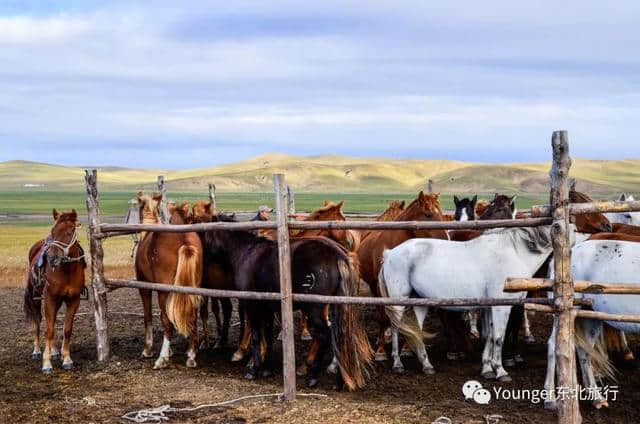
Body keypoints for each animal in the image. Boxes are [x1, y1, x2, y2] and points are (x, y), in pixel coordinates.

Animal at [23, 210, 85, 372]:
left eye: (70, 231)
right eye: (53, 231)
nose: (52, 258)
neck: (67, 271)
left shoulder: (73, 300)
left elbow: (67, 329)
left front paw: (67, 359)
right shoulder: (50, 298)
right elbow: (49, 330)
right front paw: (46, 363)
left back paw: (55, 351)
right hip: (36, 299)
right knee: (38, 321)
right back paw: (37, 351)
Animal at [135, 194, 202, 370]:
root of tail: (184, 240)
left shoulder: (144, 286)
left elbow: (149, 316)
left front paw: (148, 349)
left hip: (164, 292)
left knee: (167, 321)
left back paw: (162, 358)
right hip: (194, 289)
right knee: (193, 316)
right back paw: (191, 356)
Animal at [358, 192, 448, 362]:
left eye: (442, 213)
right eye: (428, 214)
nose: (447, 239)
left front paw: (407, 348)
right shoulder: (381, 288)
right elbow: (383, 317)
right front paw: (381, 351)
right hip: (374, 287)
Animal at [378, 227, 552, 382]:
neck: (514, 254)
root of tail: (389, 254)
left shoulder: (489, 307)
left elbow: (489, 336)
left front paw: (487, 369)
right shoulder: (501, 307)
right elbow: (498, 337)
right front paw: (500, 371)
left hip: (420, 303)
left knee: (417, 330)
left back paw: (427, 365)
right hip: (398, 301)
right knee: (396, 328)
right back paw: (397, 364)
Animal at [544, 242, 640, 410]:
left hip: (590, 317)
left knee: (585, 353)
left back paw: (596, 398)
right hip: (566, 314)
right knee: (553, 347)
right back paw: (550, 399)